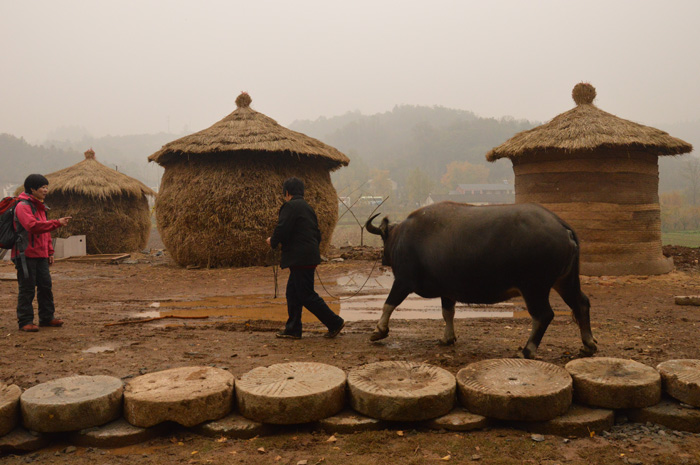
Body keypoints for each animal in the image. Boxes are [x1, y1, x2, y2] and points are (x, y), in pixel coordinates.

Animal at [364, 200, 600, 358]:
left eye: (383, 239)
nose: (383, 258)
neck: (404, 236)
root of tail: (561, 226)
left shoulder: (403, 281)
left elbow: (389, 304)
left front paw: (378, 331)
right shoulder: (447, 291)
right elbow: (448, 313)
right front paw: (447, 338)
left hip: (534, 287)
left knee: (543, 315)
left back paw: (527, 350)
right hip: (565, 280)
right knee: (581, 303)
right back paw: (587, 344)